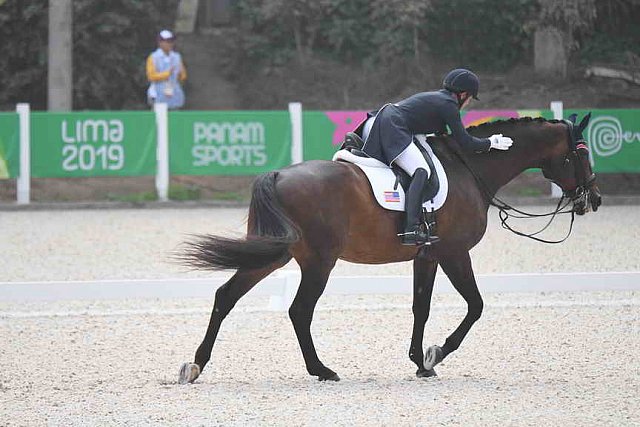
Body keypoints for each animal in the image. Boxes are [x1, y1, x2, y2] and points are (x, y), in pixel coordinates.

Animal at [175, 114, 600, 384]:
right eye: (581, 153)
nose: (593, 199)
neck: (469, 170)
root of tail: (278, 173)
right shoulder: (454, 253)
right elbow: (475, 305)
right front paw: (436, 353)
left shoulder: (427, 256)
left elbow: (420, 306)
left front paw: (420, 362)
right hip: (318, 261)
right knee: (299, 310)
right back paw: (322, 370)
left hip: (274, 254)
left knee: (226, 295)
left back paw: (195, 365)